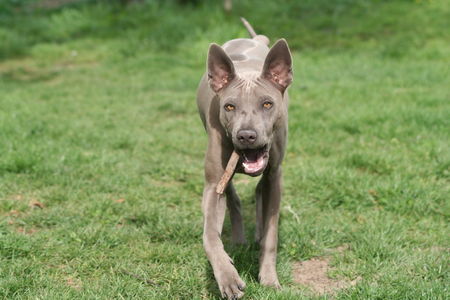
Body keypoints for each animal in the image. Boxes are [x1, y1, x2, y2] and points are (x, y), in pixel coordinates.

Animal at [196, 19, 294, 300]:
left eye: (267, 104)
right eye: (229, 106)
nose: (247, 135)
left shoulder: (275, 175)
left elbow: (272, 236)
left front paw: (269, 279)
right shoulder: (212, 184)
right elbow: (210, 236)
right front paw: (227, 277)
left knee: (260, 190)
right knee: (233, 197)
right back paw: (239, 240)